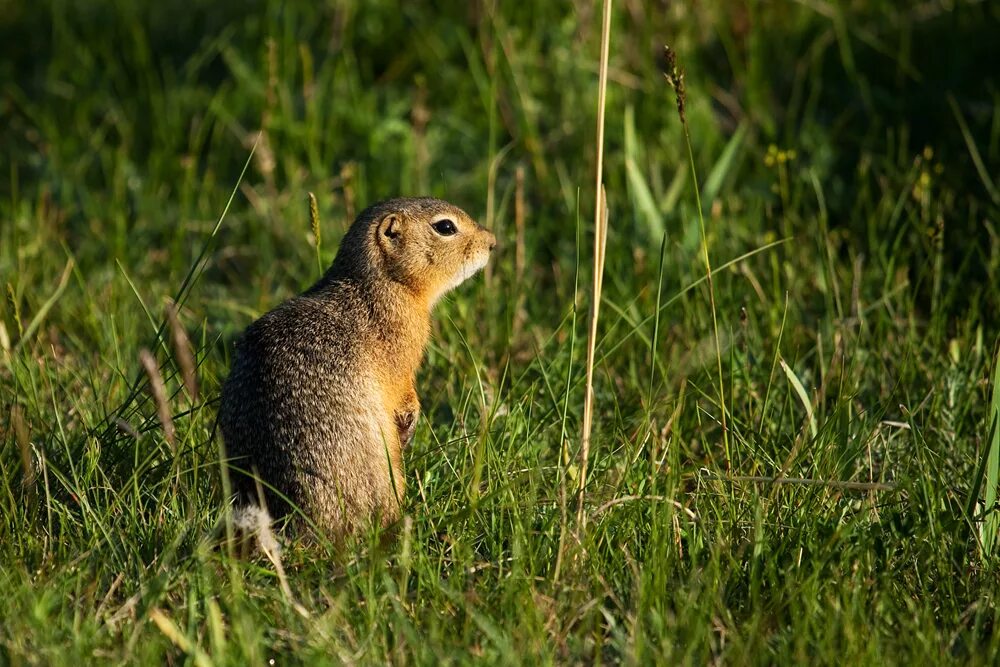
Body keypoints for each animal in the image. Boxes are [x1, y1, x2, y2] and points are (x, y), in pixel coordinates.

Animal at [221, 196, 498, 540]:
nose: (492, 242)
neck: (379, 286)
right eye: (445, 227)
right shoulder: (400, 355)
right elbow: (402, 390)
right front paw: (411, 419)